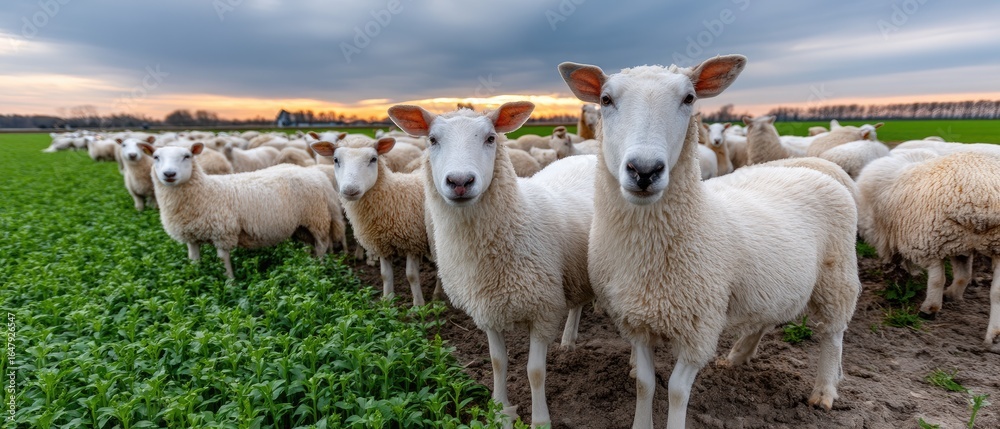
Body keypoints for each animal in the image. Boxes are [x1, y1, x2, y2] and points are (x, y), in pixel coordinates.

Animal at [140, 143, 336, 279]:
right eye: (156, 157)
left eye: (187, 156)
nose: (169, 174)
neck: (205, 192)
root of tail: (315, 174)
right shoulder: (191, 237)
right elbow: (194, 259)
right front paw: (196, 278)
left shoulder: (222, 234)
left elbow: (223, 261)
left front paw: (230, 285)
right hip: (301, 225)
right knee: (309, 244)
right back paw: (307, 262)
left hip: (317, 218)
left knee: (321, 244)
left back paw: (318, 267)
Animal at [310, 135, 440, 306]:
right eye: (336, 160)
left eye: (373, 159)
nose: (350, 190)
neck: (393, 196)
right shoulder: (381, 243)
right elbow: (385, 275)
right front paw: (387, 302)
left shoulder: (412, 240)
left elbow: (411, 275)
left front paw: (419, 305)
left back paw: (437, 295)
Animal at [387, 101, 596, 427]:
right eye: (432, 140)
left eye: (490, 138)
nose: (460, 182)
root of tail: (584, 155)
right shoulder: (486, 308)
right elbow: (498, 362)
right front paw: (500, 410)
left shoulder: (544, 308)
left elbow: (535, 371)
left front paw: (540, 420)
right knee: (577, 304)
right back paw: (568, 342)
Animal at [559, 55, 860, 428]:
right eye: (605, 99)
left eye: (689, 98)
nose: (645, 170)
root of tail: (815, 168)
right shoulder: (635, 320)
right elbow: (644, 384)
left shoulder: (699, 327)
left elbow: (676, 390)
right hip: (773, 282)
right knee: (768, 317)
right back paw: (738, 356)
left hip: (837, 276)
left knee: (833, 334)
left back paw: (825, 391)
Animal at [855, 151, 1000, 347]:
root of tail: (986, 198)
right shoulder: (958, 246)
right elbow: (963, 274)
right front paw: (953, 295)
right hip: (993, 246)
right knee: (996, 291)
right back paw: (994, 335)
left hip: (930, 238)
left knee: (937, 278)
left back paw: (929, 308)